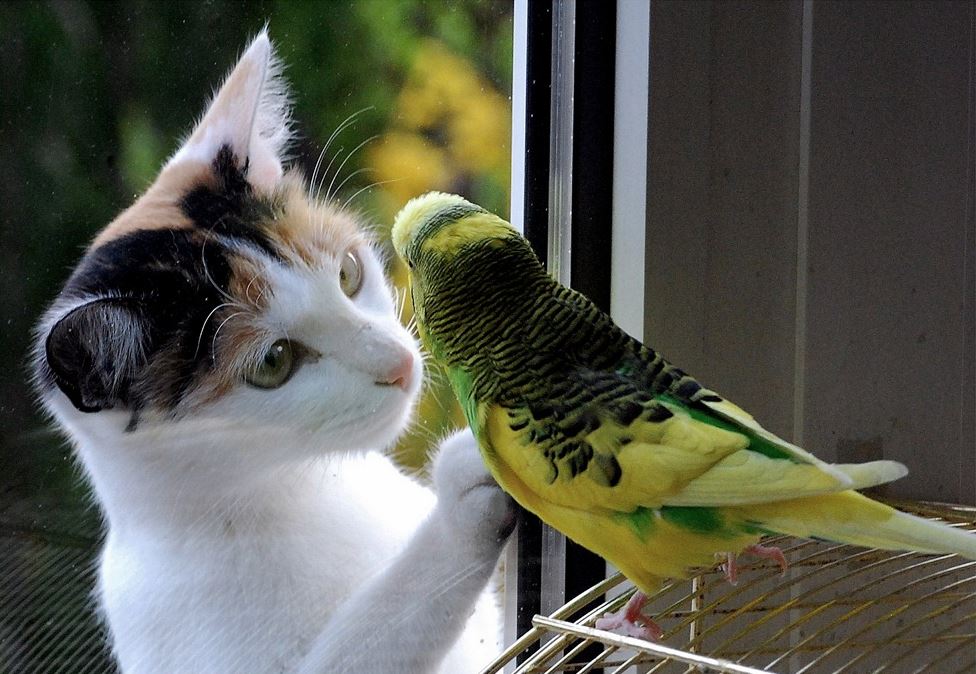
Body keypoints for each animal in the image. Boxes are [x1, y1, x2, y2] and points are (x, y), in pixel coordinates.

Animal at [30, 30, 516, 668]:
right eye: (273, 363)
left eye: (349, 273)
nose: (400, 362)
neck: (300, 489)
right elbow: (372, 640)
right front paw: (463, 496)